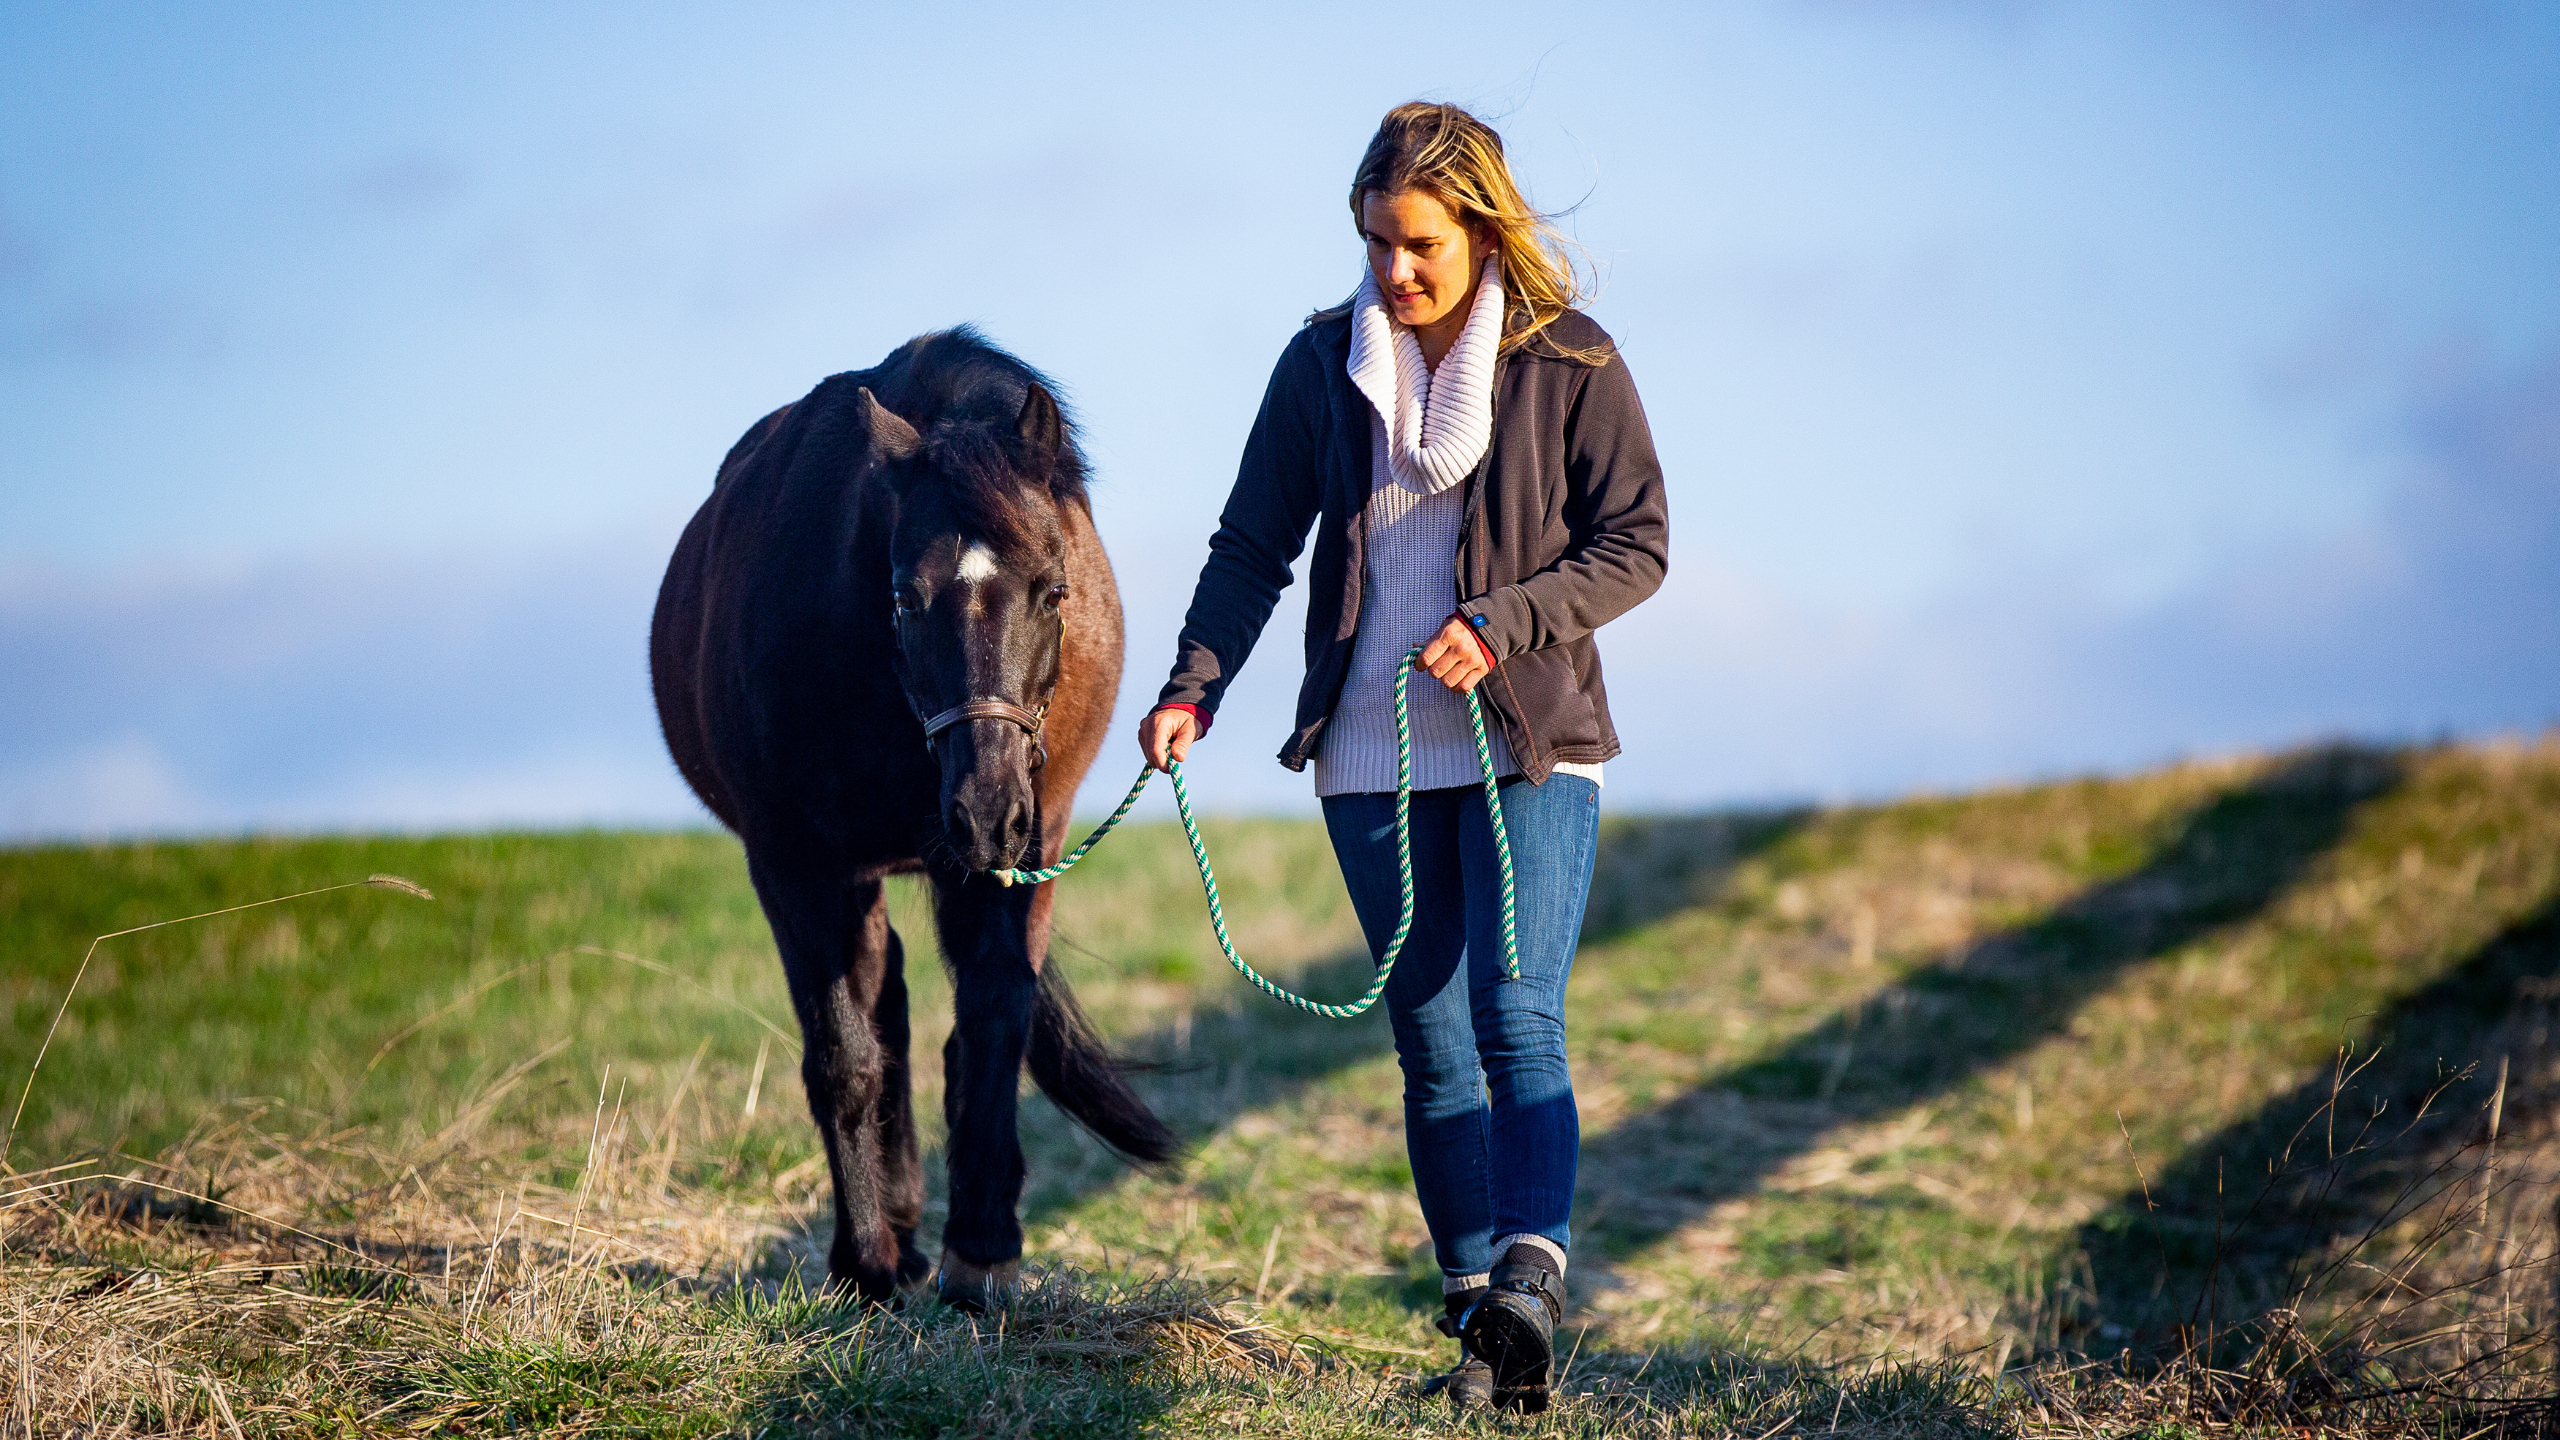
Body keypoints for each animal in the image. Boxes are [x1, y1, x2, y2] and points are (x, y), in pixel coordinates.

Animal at [660, 330, 1177, 1306]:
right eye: (903, 596)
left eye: (1053, 591)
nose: (986, 811)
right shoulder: (793, 863)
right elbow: (843, 1053)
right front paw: (866, 1262)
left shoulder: (1023, 854)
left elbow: (991, 1026)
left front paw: (981, 1250)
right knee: (879, 1003)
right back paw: (891, 1226)